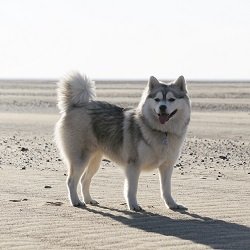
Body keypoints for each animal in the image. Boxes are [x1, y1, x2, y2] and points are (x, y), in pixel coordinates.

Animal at [54, 73, 190, 211]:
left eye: (171, 99)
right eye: (157, 99)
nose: (162, 107)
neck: (162, 132)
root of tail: (75, 106)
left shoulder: (167, 166)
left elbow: (166, 189)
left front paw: (172, 204)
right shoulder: (133, 165)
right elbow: (132, 189)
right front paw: (133, 205)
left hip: (94, 161)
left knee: (84, 180)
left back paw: (89, 200)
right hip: (81, 159)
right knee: (71, 181)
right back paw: (76, 201)